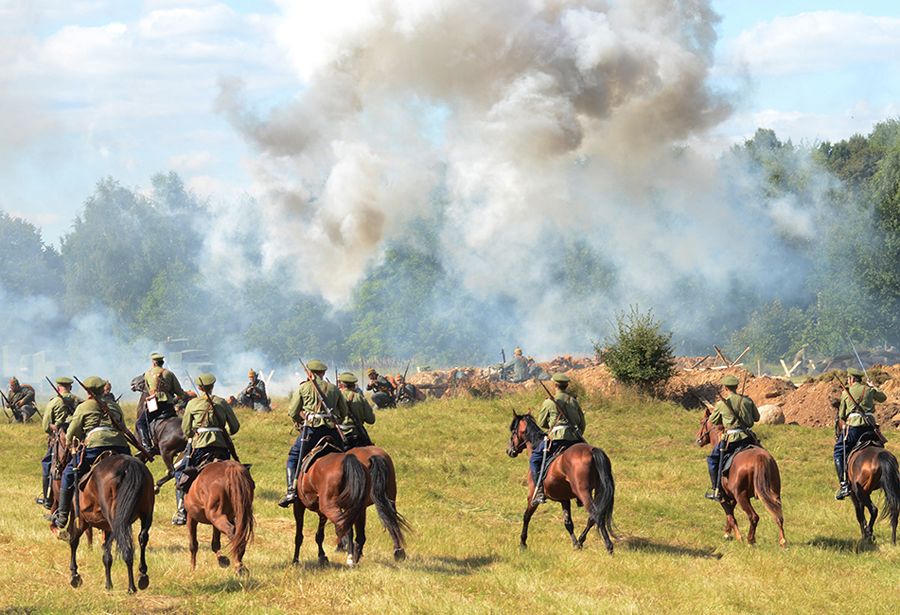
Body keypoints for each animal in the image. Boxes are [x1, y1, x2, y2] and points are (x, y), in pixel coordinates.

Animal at [61, 454, 155, 596]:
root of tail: (128, 465)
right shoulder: (108, 528)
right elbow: (106, 554)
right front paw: (108, 584)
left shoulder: (80, 520)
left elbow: (73, 542)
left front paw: (74, 575)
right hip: (146, 514)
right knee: (142, 538)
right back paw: (142, 576)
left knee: (126, 547)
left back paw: (131, 587)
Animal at [506, 414, 620, 552]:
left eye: (513, 431)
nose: (509, 450)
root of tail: (593, 450)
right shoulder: (564, 499)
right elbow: (568, 523)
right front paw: (575, 543)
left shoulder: (532, 496)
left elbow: (526, 516)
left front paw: (523, 543)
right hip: (598, 490)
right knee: (593, 517)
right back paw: (581, 541)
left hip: (584, 492)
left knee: (595, 514)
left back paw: (609, 546)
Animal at [692, 410, 784, 548]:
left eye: (702, 422)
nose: (698, 439)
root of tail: (760, 458)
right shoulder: (733, 497)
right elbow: (730, 513)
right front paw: (728, 532)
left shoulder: (724, 497)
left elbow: (730, 514)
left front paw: (735, 536)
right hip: (774, 493)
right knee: (778, 514)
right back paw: (783, 541)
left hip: (742, 497)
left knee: (754, 517)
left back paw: (750, 540)